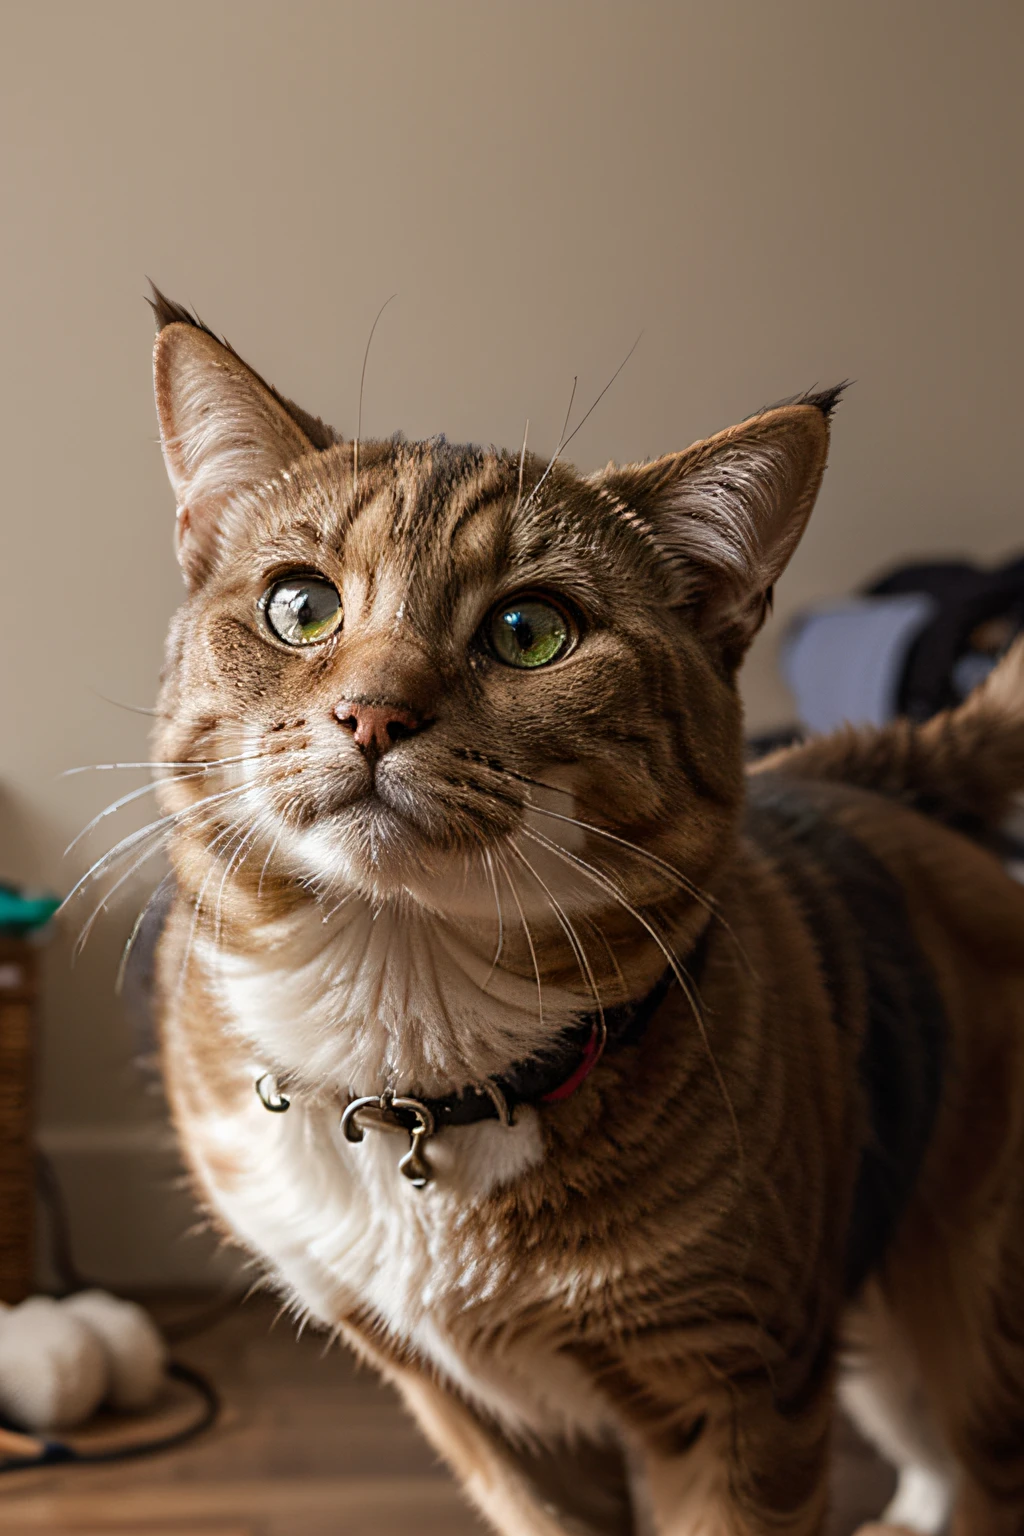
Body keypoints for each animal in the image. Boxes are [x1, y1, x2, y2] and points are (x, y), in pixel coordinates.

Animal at [142, 290, 1024, 1536]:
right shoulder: (480, 1419)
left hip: (968, 1298)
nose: (370, 713)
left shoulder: (741, 1391)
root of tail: (890, 762)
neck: (415, 1066)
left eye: (530, 632)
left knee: (978, 1454)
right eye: (300, 607)